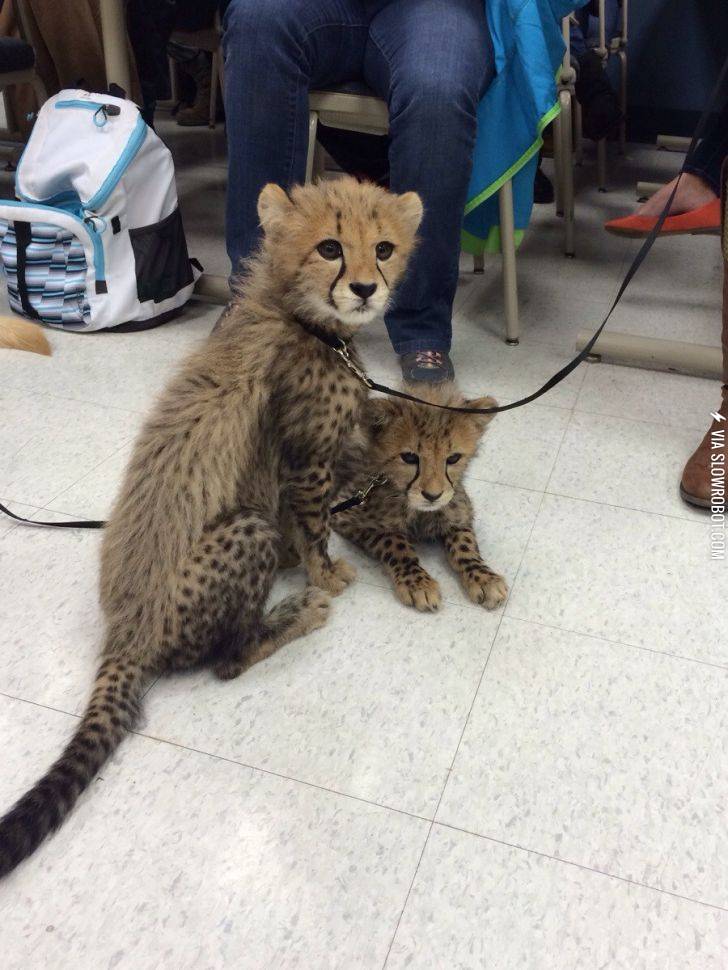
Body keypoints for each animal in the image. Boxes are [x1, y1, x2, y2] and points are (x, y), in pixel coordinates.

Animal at [0, 176, 423, 878]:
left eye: (384, 247)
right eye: (330, 247)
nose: (366, 288)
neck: (305, 319)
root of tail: (124, 634)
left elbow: (299, 523)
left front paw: (303, 564)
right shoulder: (307, 462)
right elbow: (313, 527)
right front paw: (324, 576)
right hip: (240, 534)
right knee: (228, 657)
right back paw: (296, 616)